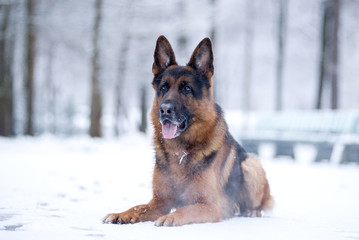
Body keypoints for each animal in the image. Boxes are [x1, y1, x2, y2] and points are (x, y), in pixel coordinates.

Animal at [103, 36, 272, 227]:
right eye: (163, 88)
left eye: (186, 89)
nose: (165, 110)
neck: (180, 151)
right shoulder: (159, 202)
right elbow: (138, 207)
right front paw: (121, 214)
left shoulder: (209, 206)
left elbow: (187, 209)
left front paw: (171, 217)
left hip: (251, 166)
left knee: (258, 203)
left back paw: (251, 211)